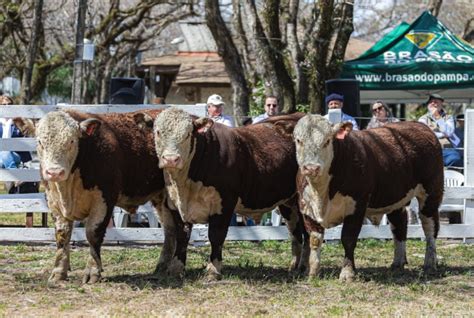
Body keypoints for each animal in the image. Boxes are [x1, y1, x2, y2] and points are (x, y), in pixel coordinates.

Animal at [14, 110, 176, 284]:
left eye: (72, 141)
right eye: (40, 142)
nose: (55, 172)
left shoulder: (104, 200)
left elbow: (93, 234)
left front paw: (93, 272)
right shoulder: (53, 201)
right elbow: (62, 235)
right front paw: (58, 273)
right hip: (161, 199)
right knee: (170, 229)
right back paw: (161, 268)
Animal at [135, 108, 310, 280]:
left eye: (188, 134)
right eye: (158, 132)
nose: (171, 159)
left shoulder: (224, 202)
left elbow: (216, 235)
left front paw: (213, 270)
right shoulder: (175, 204)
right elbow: (182, 236)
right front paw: (176, 269)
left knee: (307, 233)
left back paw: (304, 268)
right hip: (288, 203)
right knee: (295, 233)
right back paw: (294, 267)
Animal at [292, 115, 444, 282]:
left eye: (327, 141)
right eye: (298, 140)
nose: (311, 168)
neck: (322, 193)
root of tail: (420, 126)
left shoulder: (356, 207)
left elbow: (348, 238)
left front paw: (347, 273)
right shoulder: (307, 209)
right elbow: (314, 240)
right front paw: (312, 272)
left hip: (431, 193)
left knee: (430, 227)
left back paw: (430, 263)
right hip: (395, 198)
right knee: (399, 225)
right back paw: (397, 263)